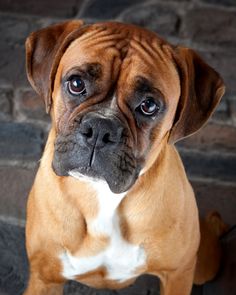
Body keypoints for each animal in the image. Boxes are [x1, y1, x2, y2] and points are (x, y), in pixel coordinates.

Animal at [23, 19, 227, 294]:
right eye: (76, 84)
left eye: (149, 105)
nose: (100, 128)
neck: (101, 197)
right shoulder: (45, 278)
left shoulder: (178, 275)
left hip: (202, 266)